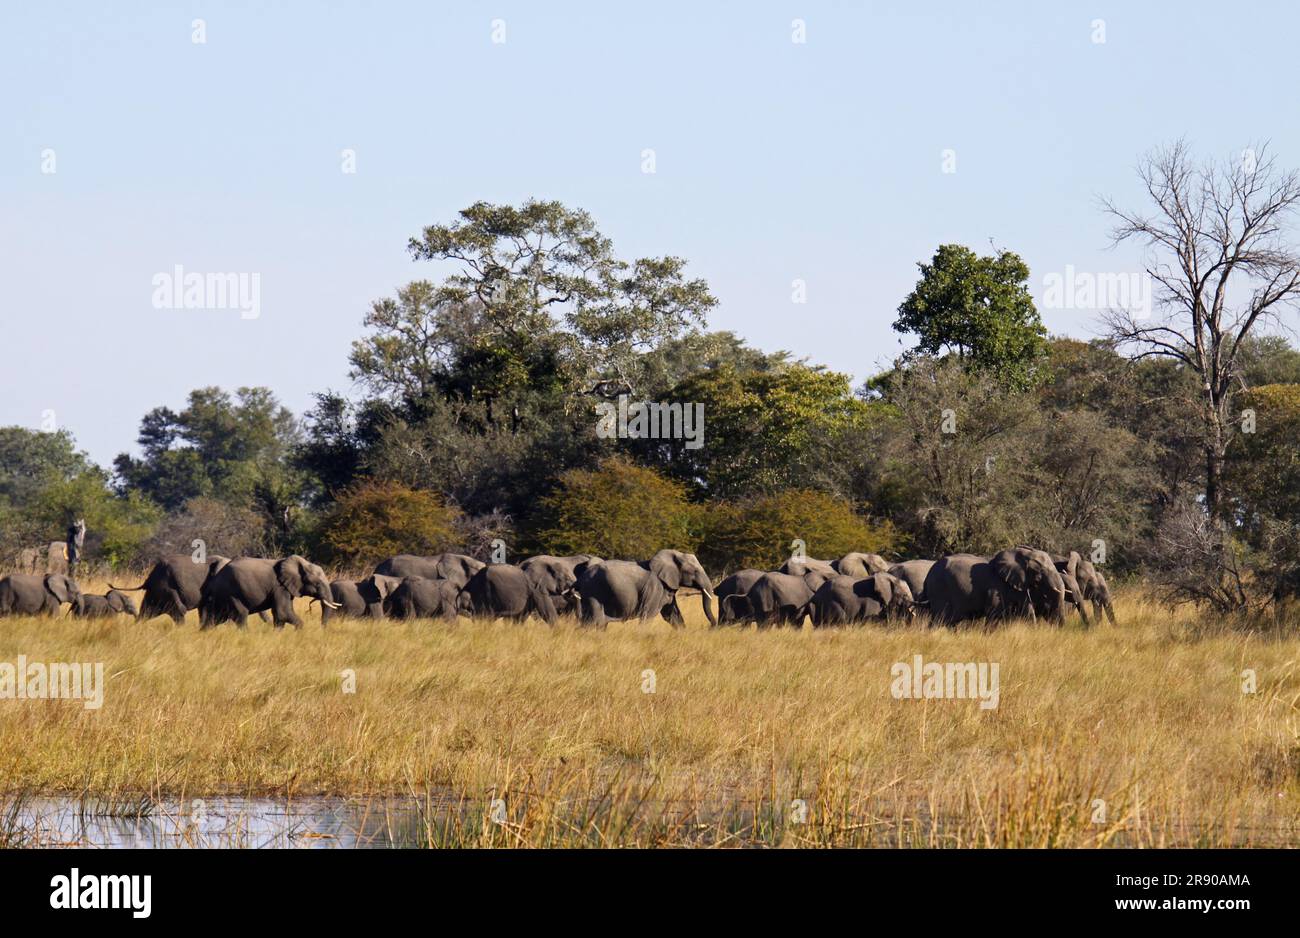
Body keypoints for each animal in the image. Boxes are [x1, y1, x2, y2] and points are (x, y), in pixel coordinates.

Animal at [196, 556, 340, 628]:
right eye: (317, 584)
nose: (322, 628)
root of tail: (215, 579)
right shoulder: (279, 587)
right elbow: (283, 613)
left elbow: (279, 616)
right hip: (231, 593)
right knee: (240, 615)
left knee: (216, 618)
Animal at [579, 548, 722, 628]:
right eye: (695, 571)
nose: (711, 626)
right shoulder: (654, 587)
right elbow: (648, 614)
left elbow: (672, 615)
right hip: (594, 592)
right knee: (596, 621)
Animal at [925, 545, 1066, 623]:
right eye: (1040, 572)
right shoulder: (996, 586)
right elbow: (994, 613)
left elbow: (1027, 610)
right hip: (939, 589)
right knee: (939, 619)